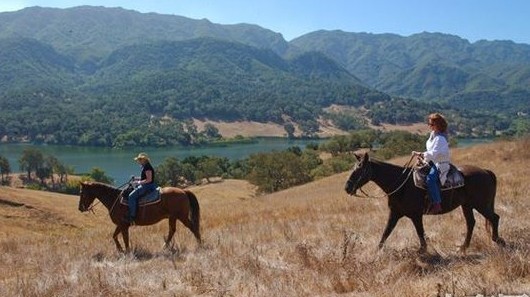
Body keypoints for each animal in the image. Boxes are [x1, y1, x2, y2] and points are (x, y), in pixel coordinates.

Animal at [342, 153, 504, 252]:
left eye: (359, 170)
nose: (347, 188)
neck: (401, 184)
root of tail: (485, 171)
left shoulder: (416, 215)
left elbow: (420, 232)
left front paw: (423, 251)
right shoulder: (394, 214)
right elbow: (386, 232)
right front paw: (377, 252)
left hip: (480, 204)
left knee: (494, 218)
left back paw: (497, 240)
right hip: (467, 205)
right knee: (471, 223)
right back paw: (463, 247)